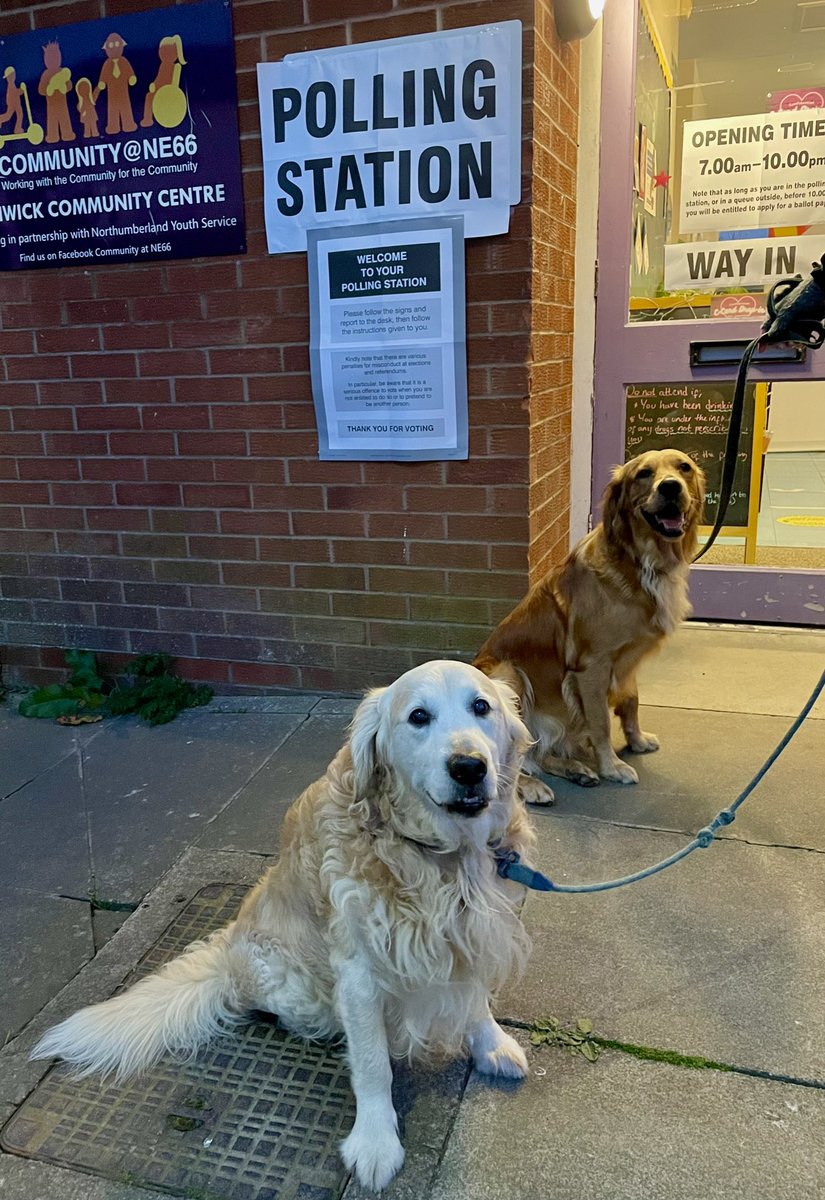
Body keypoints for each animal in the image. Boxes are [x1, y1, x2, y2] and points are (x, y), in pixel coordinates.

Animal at [30, 662, 534, 1195]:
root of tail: (226, 954)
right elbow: (372, 1064)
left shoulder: (474, 932)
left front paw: (491, 1045)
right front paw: (376, 1142)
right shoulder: (357, 974)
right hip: (295, 986)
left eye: (481, 706)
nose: (469, 766)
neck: (439, 857)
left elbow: (475, 998)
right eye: (419, 716)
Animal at [474, 446, 705, 801]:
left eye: (684, 468)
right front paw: (612, 767)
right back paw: (533, 786)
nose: (670, 487)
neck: (640, 562)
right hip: (508, 674)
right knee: (509, 761)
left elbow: (631, 700)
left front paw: (637, 741)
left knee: (536, 754)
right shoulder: (592, 667)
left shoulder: (626, 661)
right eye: (644, 474)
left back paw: (577, 770)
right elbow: (601, 724)